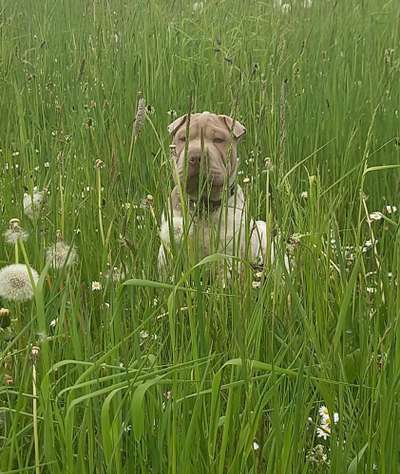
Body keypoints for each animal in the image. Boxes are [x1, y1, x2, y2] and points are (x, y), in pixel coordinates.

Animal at [158, 112, 274, 274]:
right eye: (183, 139)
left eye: (218, 140)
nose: (196, 156)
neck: (203, 205)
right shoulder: (168, 250)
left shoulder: (226, 255)